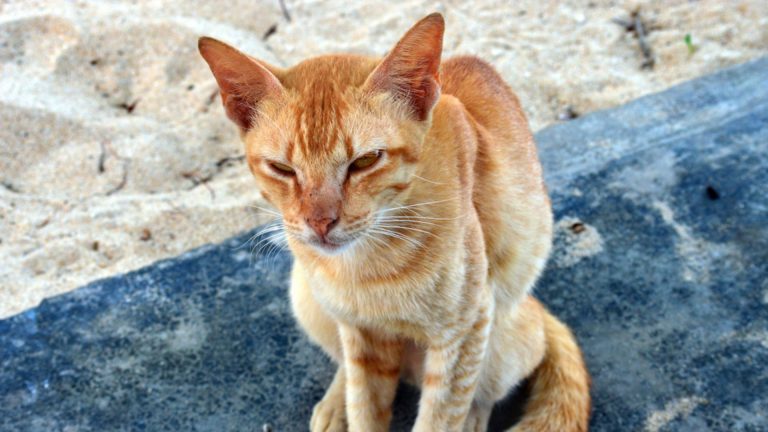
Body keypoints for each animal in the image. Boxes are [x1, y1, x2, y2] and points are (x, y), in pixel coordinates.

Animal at [201, 11, 592, 430]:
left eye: (365, 161)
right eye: (282, 169)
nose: (320, 222)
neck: (368, 265)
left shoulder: (465, 331)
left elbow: (442, 417)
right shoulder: (362, 336)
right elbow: (364, 407)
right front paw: (349, 406)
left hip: (503, 341)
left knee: (482, 392)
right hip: (309, 299)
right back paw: (336, 404)